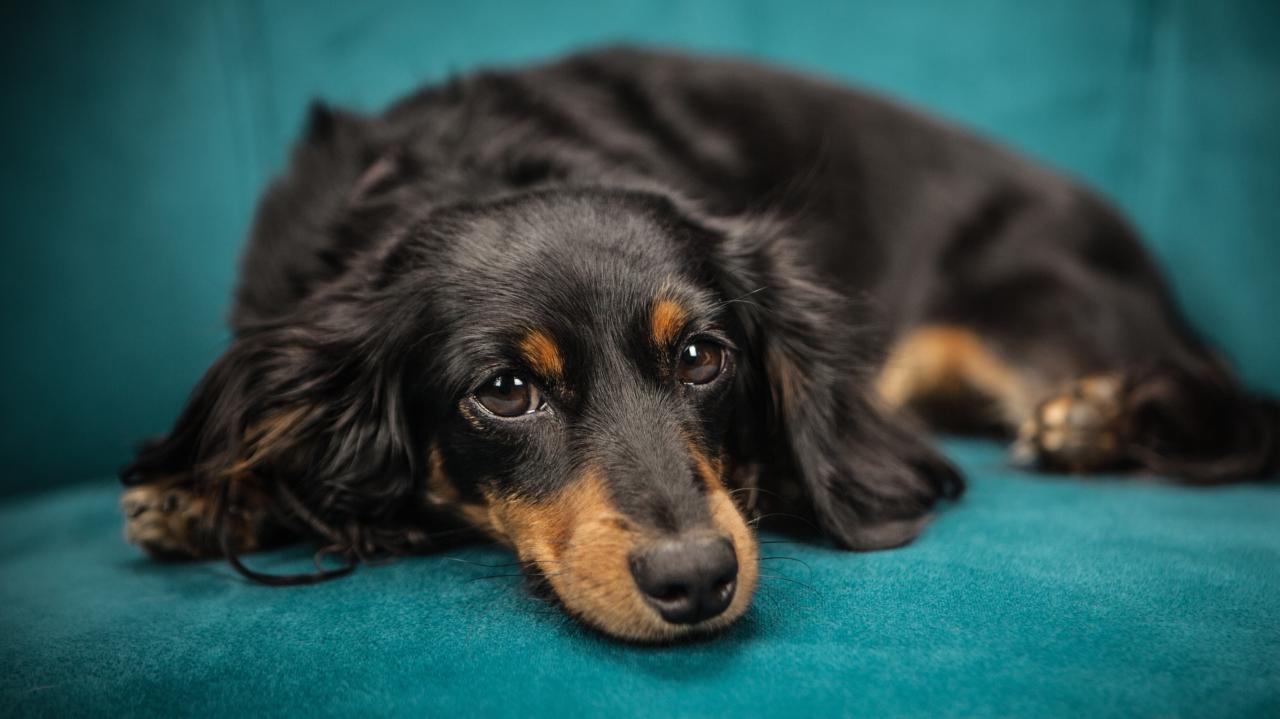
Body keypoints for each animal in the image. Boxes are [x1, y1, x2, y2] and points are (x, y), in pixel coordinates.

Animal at [120, 48, 1280, 637]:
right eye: (504, 389)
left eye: (698, 357)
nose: (695, 580)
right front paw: (204, 490)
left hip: (1032, 305)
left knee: (1232, 407)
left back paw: (1094, 416)